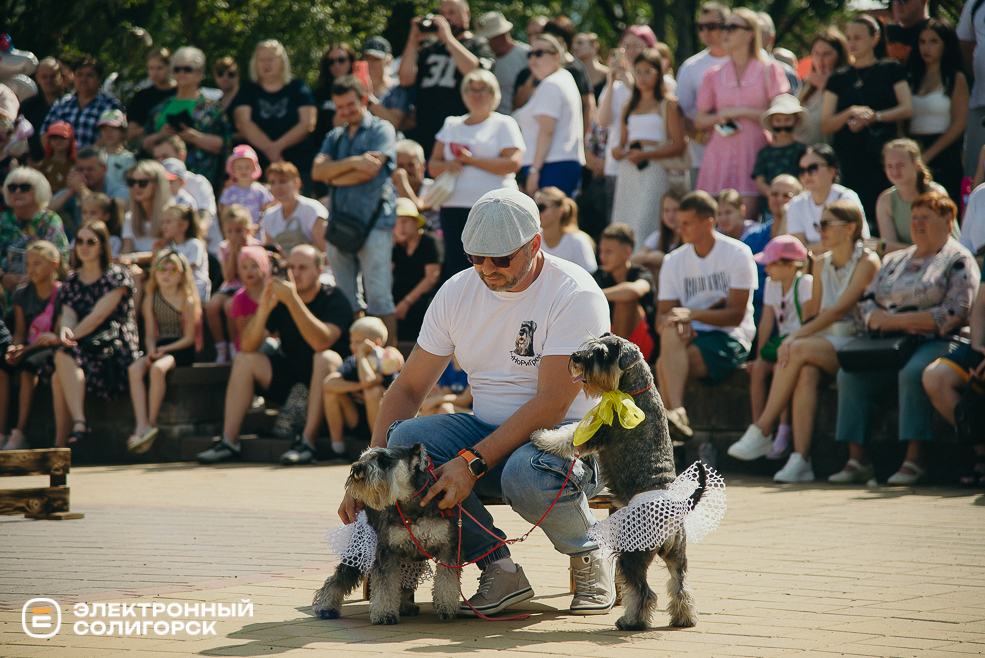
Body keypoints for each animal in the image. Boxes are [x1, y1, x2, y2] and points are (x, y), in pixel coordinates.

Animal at [312, 444, 462, 624]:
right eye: (364, 457)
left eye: (384, 459)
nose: (356, 468)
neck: (411, 504)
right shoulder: (386, 552)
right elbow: (386, 585)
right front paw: (384, 613)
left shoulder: (447, 548)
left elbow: (447, 580)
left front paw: (447, 606)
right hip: (358, 553)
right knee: (338, 579)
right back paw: (325, 607)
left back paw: (405, 605)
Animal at [532, 334, 724, 632]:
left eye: (601, 354)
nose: (575, 358)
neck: (632, 391)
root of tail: (675, 509)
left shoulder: (596, 434)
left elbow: (568, 435)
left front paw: (542, 436)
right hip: (677, 556)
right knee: (680, 586)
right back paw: (684, 618)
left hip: (632, 555)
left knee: (644, 591)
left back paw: (631, 621)